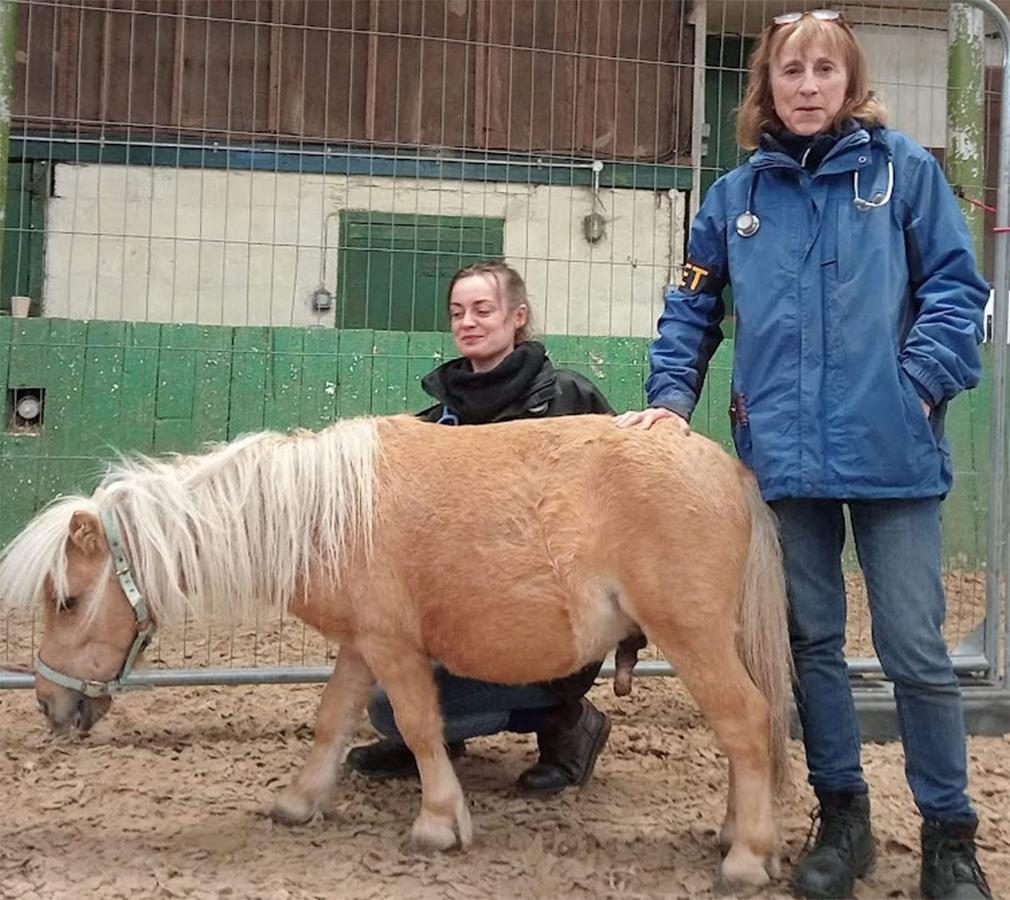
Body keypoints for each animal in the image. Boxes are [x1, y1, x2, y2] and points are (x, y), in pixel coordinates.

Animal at [0, 413, 792, 894]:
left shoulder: (392, 644)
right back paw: (733, 832)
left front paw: (438, 823)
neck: (323, 511)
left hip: (691, 637)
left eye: (67, 599)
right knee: (742, 735)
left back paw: (747, 856)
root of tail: (728, 468)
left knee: (746, 724)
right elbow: (333, 720)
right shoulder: (359, 645)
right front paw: (299, 801)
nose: (48, 701)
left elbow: (417, 727)